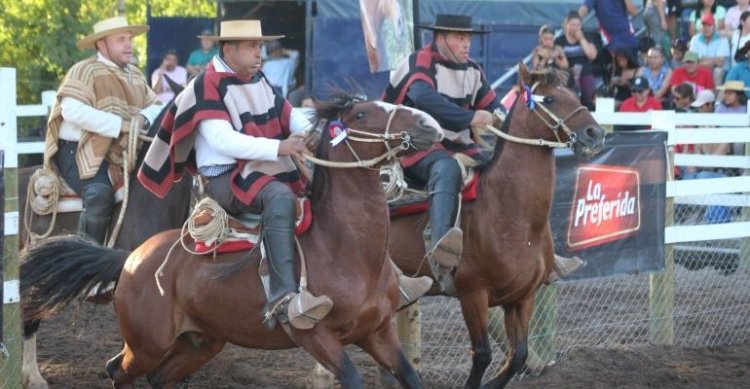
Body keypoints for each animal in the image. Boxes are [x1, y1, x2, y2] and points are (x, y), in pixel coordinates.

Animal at [390, 65, 608, 386]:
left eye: (574, 93)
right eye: (550, 99)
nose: (595, 134)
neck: (511, 214)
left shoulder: (521, 297)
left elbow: (518, 354)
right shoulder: (473, 294)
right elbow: (482, 354)